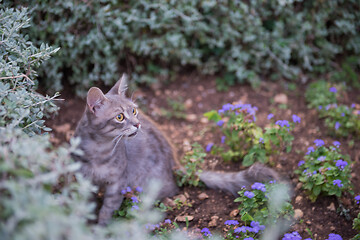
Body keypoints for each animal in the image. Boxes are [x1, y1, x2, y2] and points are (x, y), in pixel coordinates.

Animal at [73, 74, 280, 225]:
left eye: (133, 111)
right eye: (119, 117)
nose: (138, 124)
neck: (100, 151)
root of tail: (174, 163)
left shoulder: (117, 183)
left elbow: (107, 209)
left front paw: (101, 228)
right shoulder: (83, 180)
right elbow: (85, 206)